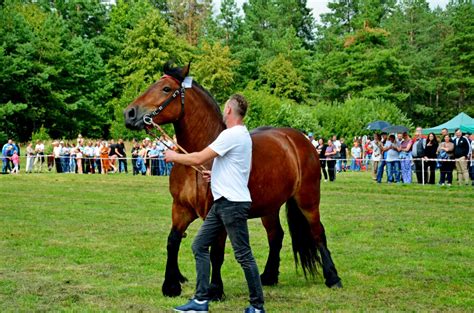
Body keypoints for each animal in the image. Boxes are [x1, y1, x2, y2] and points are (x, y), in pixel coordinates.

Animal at [124, 62, 342, 298]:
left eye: (165, 89)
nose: (129, 113)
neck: (200, 158)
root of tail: (299, 140)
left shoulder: (217, 214)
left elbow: (216, 252)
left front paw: (215, 289)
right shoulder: (180, 209)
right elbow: (173, 241)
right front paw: (171, 285)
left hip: (308, 199)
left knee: (318, 233)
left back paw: (333, 277)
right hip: (270, 207)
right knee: (276, 236)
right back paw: (268, 276)